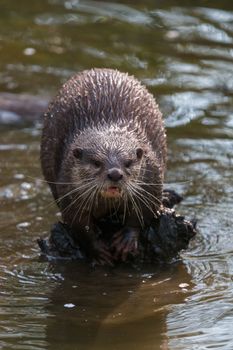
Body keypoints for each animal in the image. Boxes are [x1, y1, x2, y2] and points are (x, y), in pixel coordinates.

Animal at [41, 68, 167, 264]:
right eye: (96, 163)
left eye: (128, 162)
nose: (115, 174)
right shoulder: (69, 188)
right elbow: (78, 224)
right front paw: (98, 250)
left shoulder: (151, 179)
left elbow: (143, 212)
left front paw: (126, 240)